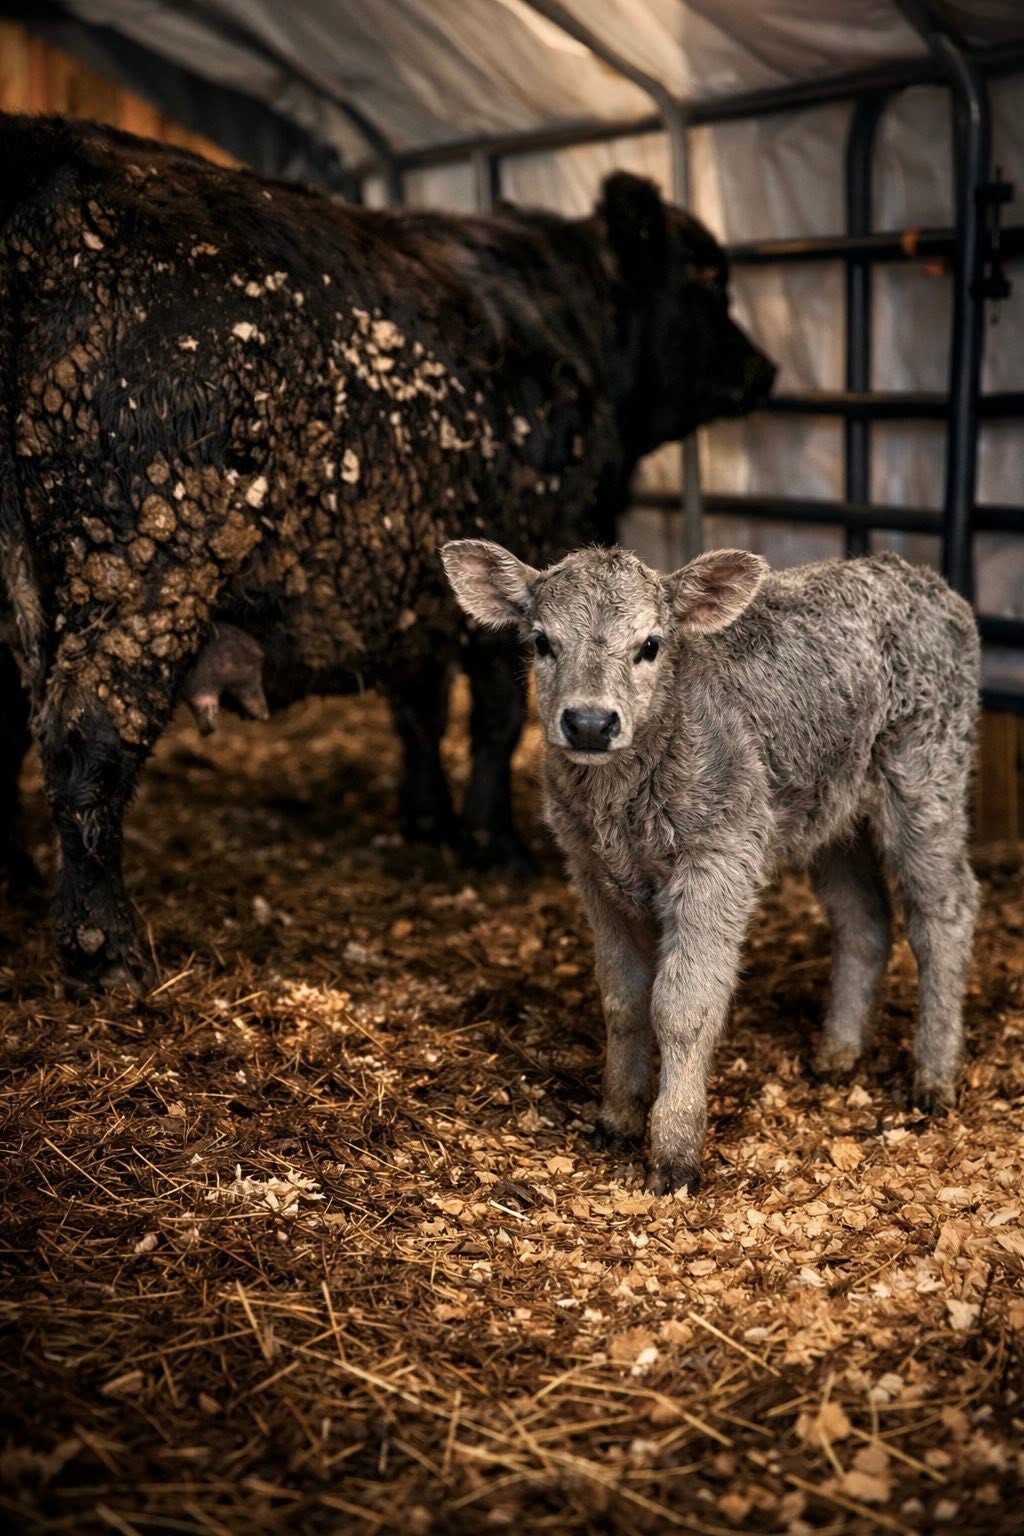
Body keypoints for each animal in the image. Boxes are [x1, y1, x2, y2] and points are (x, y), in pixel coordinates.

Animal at [0, 112, 774, 990]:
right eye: (707, 278)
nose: (764, 369)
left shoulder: (412, 589)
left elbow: (418, 706)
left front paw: (424, 817)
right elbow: (500, 715)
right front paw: (492, 842)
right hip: (140, 566)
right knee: (85, 732)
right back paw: (107, 950)